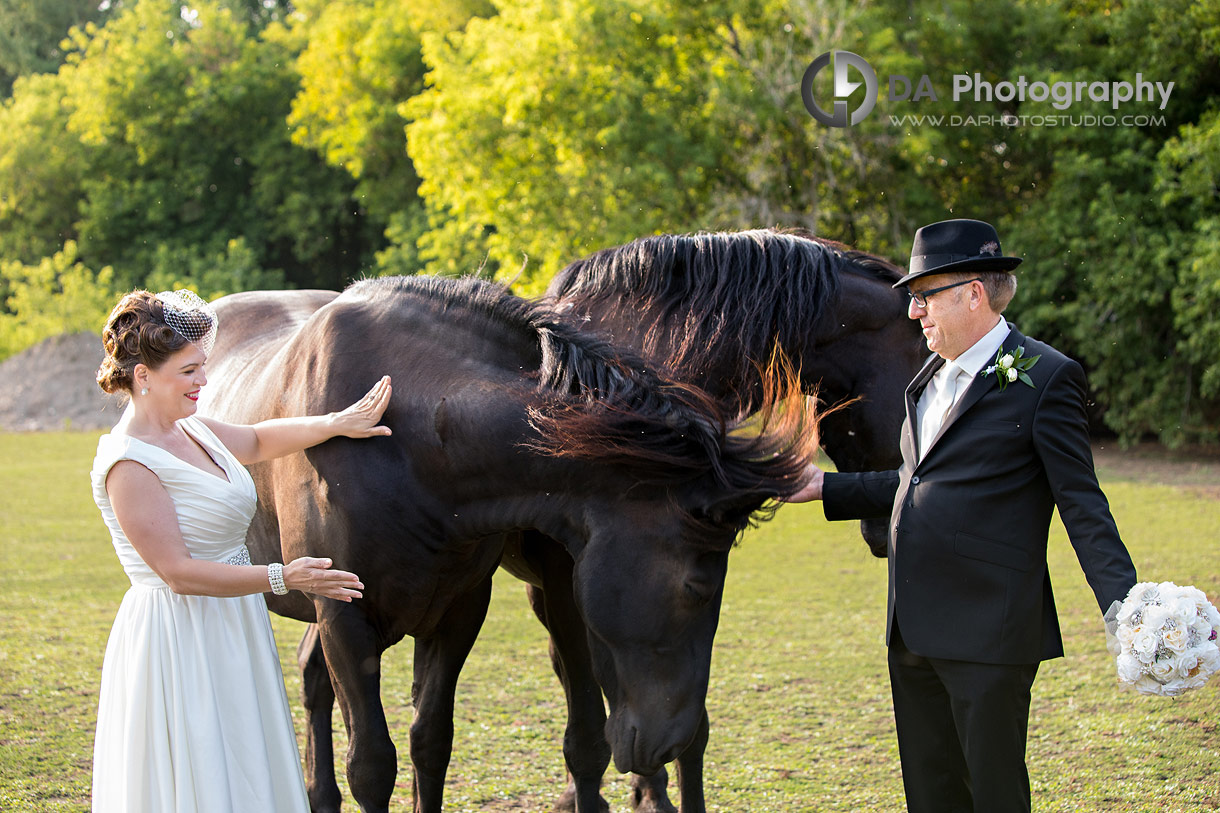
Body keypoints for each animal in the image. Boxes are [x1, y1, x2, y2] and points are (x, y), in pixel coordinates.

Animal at [200, 273, 819, 810]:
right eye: (695, 587)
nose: (674, 742)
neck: (408, 438)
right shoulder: (344, 620)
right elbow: (373, 767)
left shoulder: (457, 614)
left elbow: (432, 743)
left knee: (312, 677)